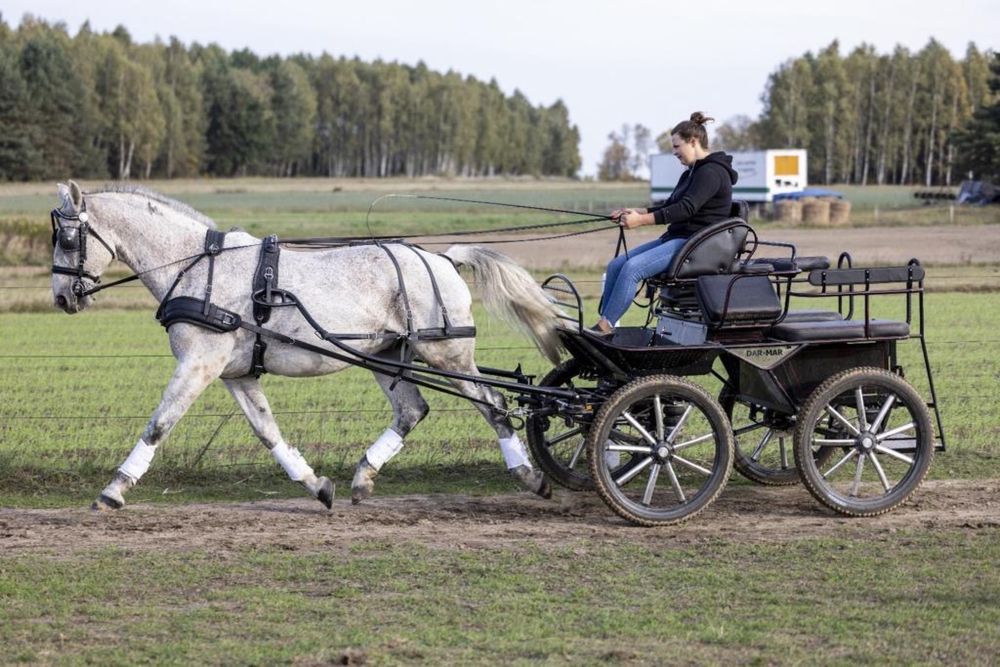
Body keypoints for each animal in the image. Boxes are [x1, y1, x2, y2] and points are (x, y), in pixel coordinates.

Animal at [50, 183, 564, 512]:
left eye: (68, 236)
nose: (62, 298)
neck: (197, 266)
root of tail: (441, 257)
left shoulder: (200, 363)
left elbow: (159, 424)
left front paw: (115, 489)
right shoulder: (236, 373)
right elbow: (267, 431)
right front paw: (317, 485)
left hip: (447, 355)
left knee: (492, 402)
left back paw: (531, 476)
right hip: (386, 356)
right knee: (412, 410)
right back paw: (363, 477)